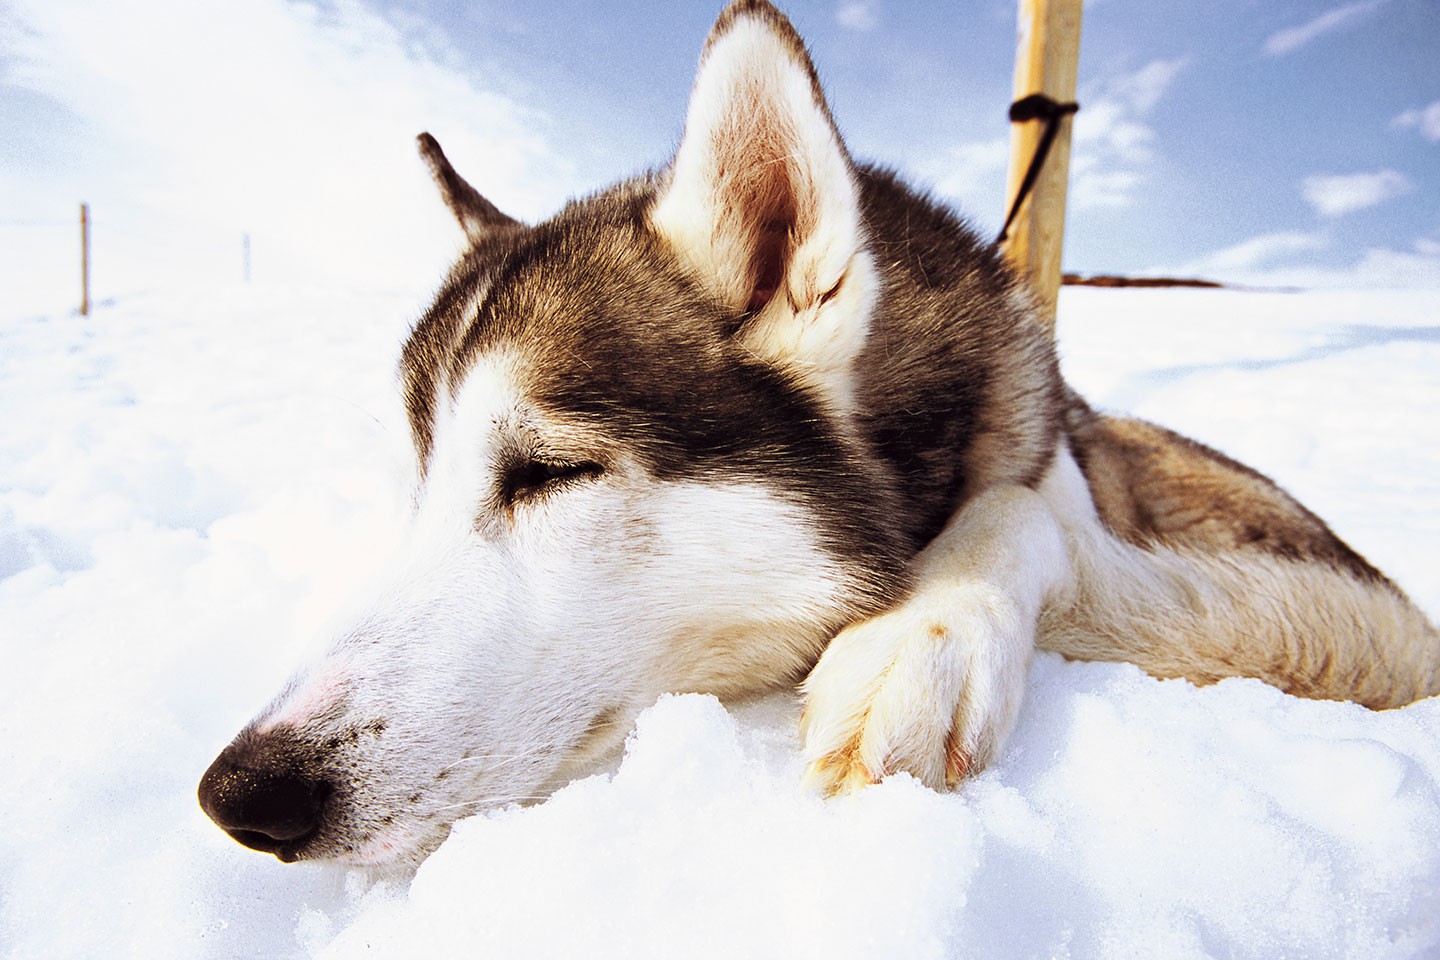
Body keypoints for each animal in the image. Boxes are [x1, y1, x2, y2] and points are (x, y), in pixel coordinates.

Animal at [197, 0, 1434, 869]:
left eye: (550, 473)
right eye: (415, 487)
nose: (239, 793)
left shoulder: (1054, 460)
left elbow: (1021, 501)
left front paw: (924, 636)